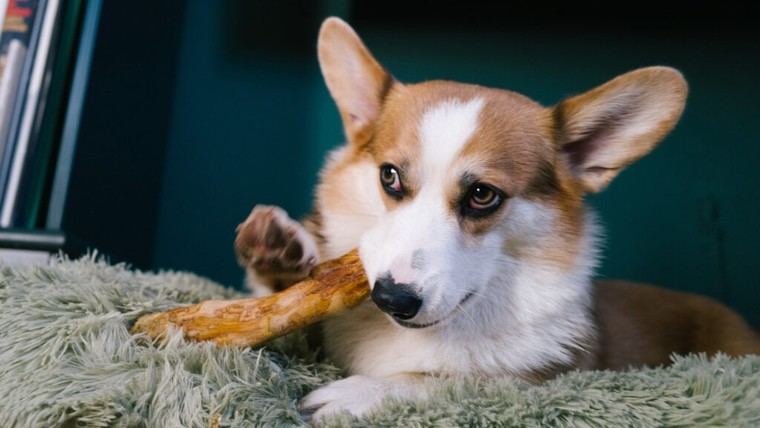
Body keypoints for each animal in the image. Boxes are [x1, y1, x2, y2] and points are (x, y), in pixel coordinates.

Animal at [235, 17, 756, 422]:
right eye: (389, 177)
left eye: (482, 195)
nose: (391, 299)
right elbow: (274, 316)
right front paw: (276, 254)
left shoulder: (538, 382)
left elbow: (446, 380)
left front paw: (358, 393)